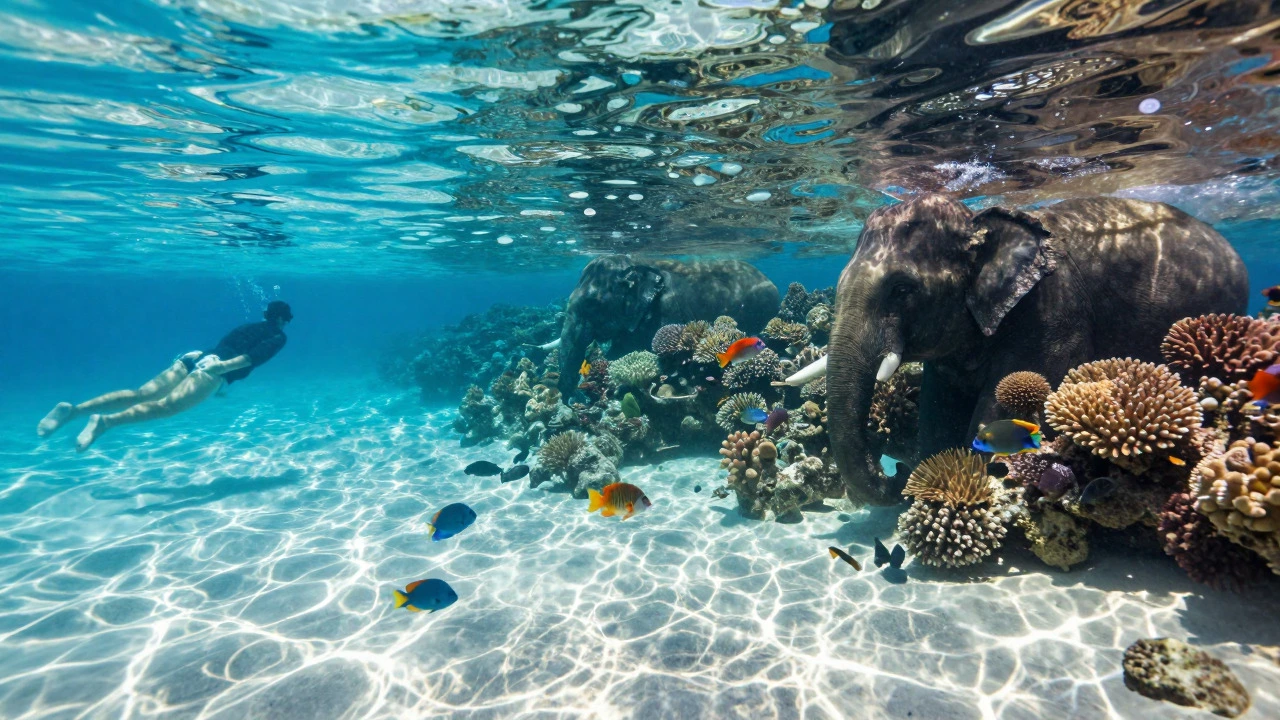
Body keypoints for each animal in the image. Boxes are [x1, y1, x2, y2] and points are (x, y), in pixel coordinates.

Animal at [827, 194, 1248, 505]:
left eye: (902, 288)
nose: (893, 473)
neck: (978, 222)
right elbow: (938, 411)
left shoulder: (1054, 315)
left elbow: (1003, 405)